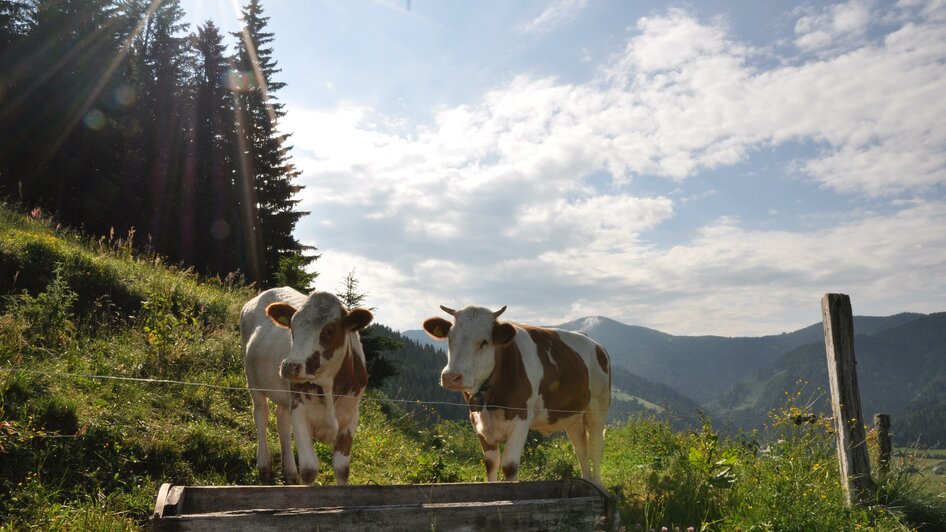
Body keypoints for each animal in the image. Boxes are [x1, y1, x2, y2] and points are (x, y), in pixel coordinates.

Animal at [240, 288, 372, 484]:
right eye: (292, 328)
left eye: (329, 331)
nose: (289, 366)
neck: (328, 388)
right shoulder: (300, 412)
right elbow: (309, 469)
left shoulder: (351, 416)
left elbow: (342, 469)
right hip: (253, 382)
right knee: (261, 415)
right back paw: (264, 465)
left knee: (282, 423)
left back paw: (289, 472)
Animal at [422, 306, 612, 484]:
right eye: (450, 338)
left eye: (484, 342)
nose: (451, 376)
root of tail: (596, 344)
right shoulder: (476, 419)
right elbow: (491, 463)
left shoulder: (521, 418)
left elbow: (509, 466)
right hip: (572, 415)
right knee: (580, 447)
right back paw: (586, 482)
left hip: (598, 406)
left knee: (595, 445)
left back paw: (597, 485)